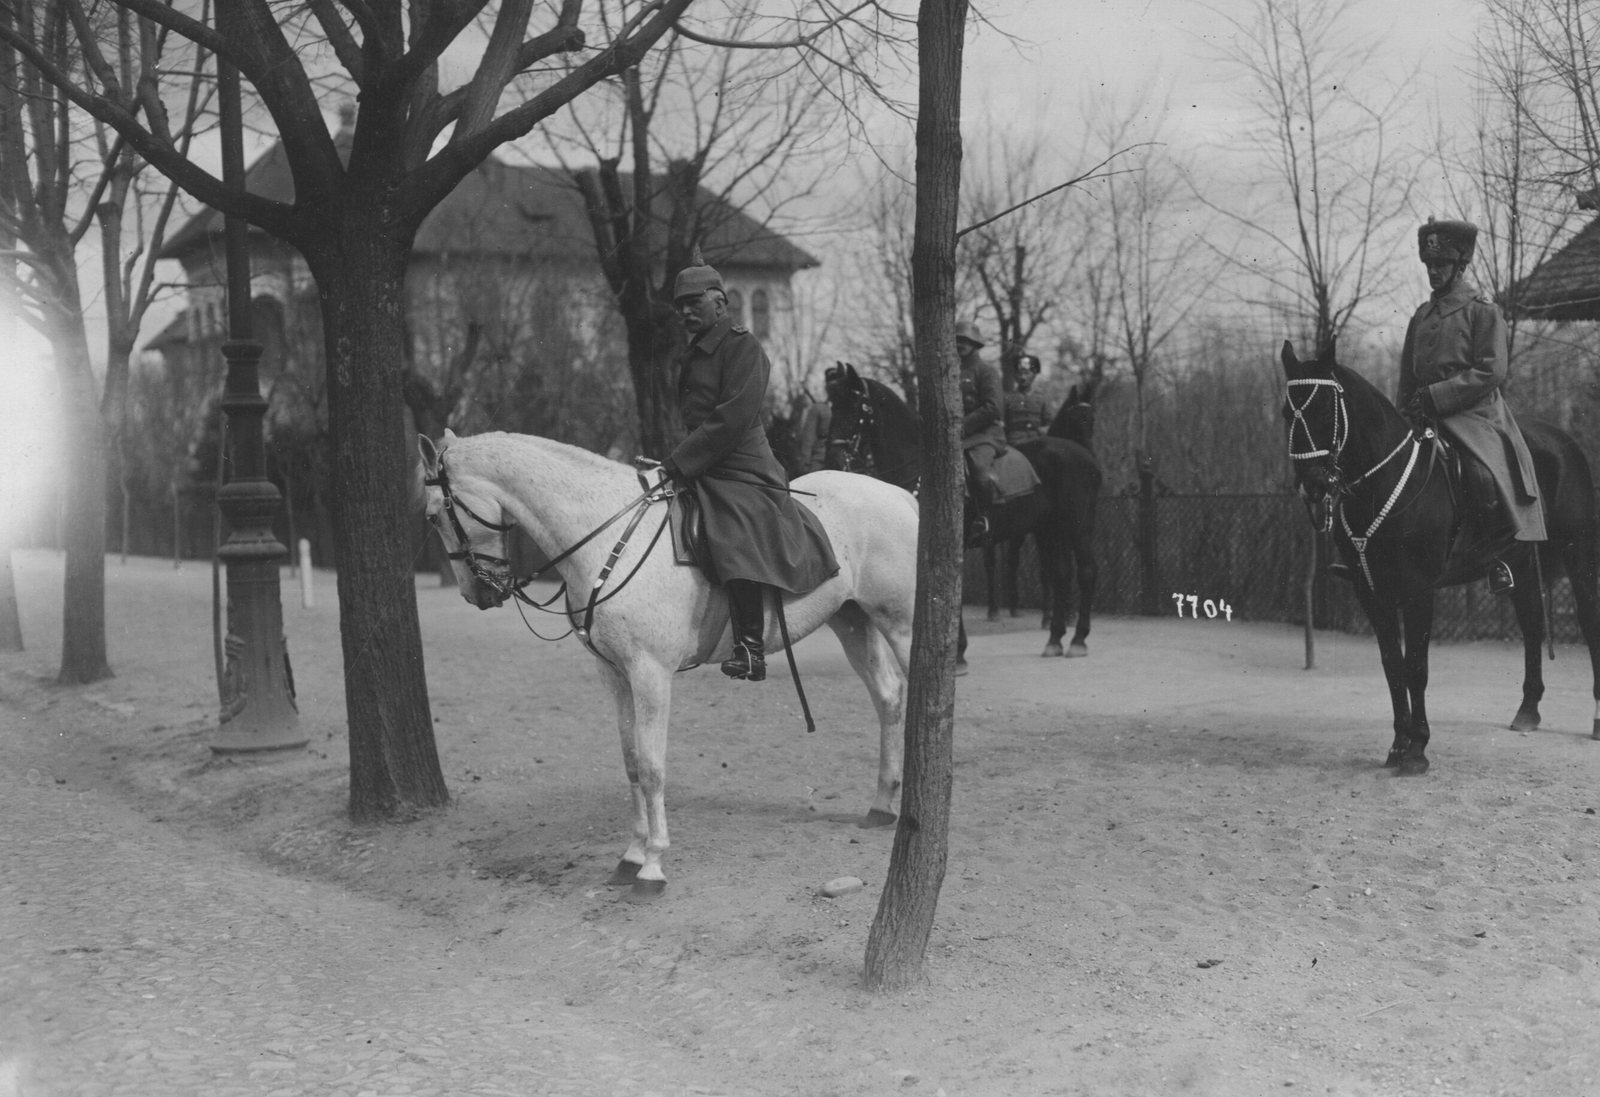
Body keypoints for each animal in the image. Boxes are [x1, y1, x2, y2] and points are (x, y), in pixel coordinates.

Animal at [416, 428, 918, 900]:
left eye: (434, 515)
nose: (477, 595)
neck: (605, 534)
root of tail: (901, 496)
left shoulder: (650, 673)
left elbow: (654, 767)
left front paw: (653, 866)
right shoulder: (614, 675)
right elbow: (632, 763)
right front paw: (631, 856)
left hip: (901, 626)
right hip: (851, 621)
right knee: (889, 698)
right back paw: (881, 805)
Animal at [823, 362, 1101, 660]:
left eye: (855, 404)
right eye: (833, 404)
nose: (833, 457)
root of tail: (1085, 454)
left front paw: (956, 653)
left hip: (1079, 527)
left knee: (1086, 571)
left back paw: (1079, 639)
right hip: (1050, 530)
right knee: (1061, 573)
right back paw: (1055, 638)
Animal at [1279, 340, 1600, 775]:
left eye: (1329, 408)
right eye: (1286, 412)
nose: (1312, 485)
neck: (1385, 482)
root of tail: (1563, 439)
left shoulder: (1418, 592)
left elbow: (1416, 668)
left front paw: (1417, 749)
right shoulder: (1372, 592)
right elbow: (1393, 667)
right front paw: (1398, 745)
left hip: (1578, 556)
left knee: (1588, 621)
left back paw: (1595, 720)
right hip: (1519, 562)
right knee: (1532, 624)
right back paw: (1528, 710)